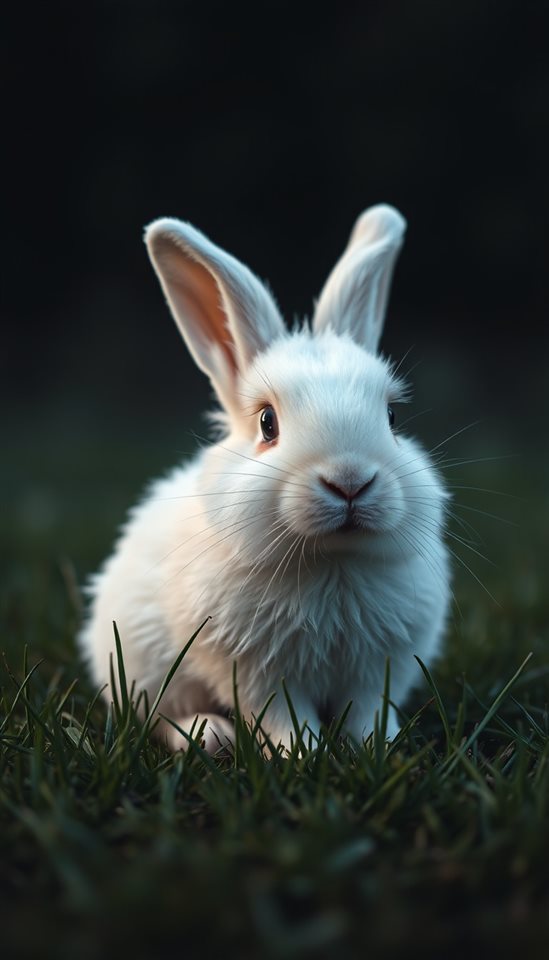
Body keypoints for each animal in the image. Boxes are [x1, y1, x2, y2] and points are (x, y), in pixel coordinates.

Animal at [79, 203, 451, 753]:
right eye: (267, 423)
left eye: (392, 418)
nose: (350, 481)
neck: (330, 562)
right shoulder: (254, 671)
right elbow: (279, 715)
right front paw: (303, 752)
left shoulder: (378, 669)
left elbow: (367, 711)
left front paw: (373, 747)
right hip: (140, 665)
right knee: (156, 716)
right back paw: (208, 734)